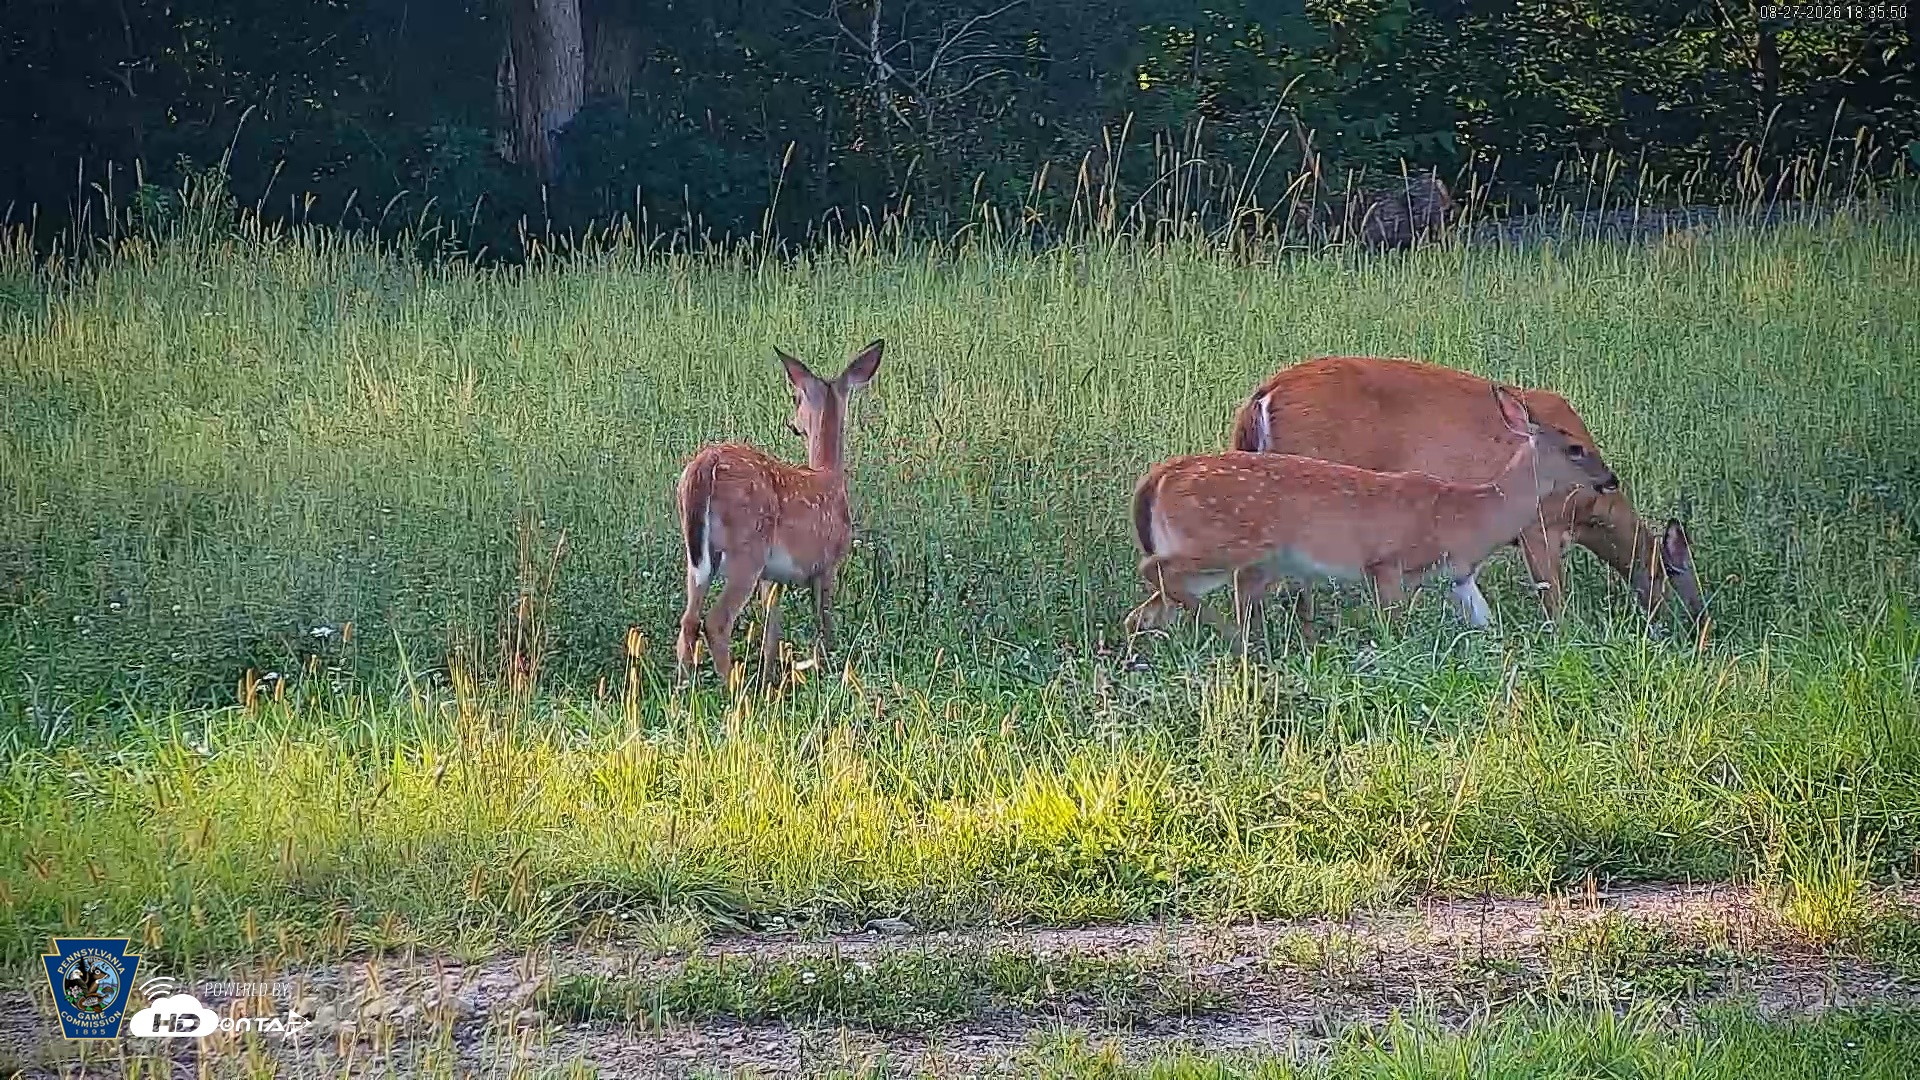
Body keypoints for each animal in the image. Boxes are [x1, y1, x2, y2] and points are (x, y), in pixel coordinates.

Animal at [674, 339, 883, 688]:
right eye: (796, 397)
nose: (793, 424)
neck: (829, 474)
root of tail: (706, 464)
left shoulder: (772, 578)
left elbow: (772, 629)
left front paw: (769, 678)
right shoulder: (827, 563)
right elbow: (823, 620)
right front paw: (825, 666)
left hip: (698, 557)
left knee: (689, 620)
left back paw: (684, 689)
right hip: (747, 550)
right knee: (716, 622)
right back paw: (734, 688)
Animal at [1125, 385, 1620, 648]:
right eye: (1576, 448)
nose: (1611, 478)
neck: (1470, 514)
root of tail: (1157, 478)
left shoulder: (1458, 576)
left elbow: (1484, 621)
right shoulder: (1386, 561)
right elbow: (1393, 626)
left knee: (1144, 611)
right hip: (1223, 542)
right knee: (1154, 570)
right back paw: (1230, 632)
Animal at [1228, 355, 1704, 635]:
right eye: (1681, 575)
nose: (1702, 625)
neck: (1588, 513)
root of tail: (1260, 399)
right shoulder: (1539, 526)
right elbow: (1553, 597)